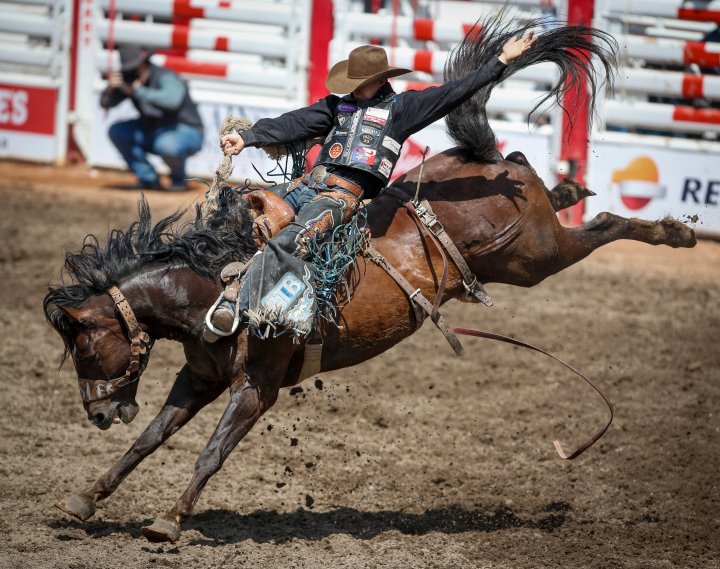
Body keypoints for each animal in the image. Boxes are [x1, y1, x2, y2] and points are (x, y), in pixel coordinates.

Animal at [42, 17, 696, 540]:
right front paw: (84, 500)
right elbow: (148, 439)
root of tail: (482, 164)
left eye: (85, 349)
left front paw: (169, 522)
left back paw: (674, 233)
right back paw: (572, 186)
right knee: (532, 174)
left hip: (536, 257)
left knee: (602, 224)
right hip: (522, 242)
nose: (96, 415)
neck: (214, 287)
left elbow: (211, 454)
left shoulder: (257, 387)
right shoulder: (197, 377)